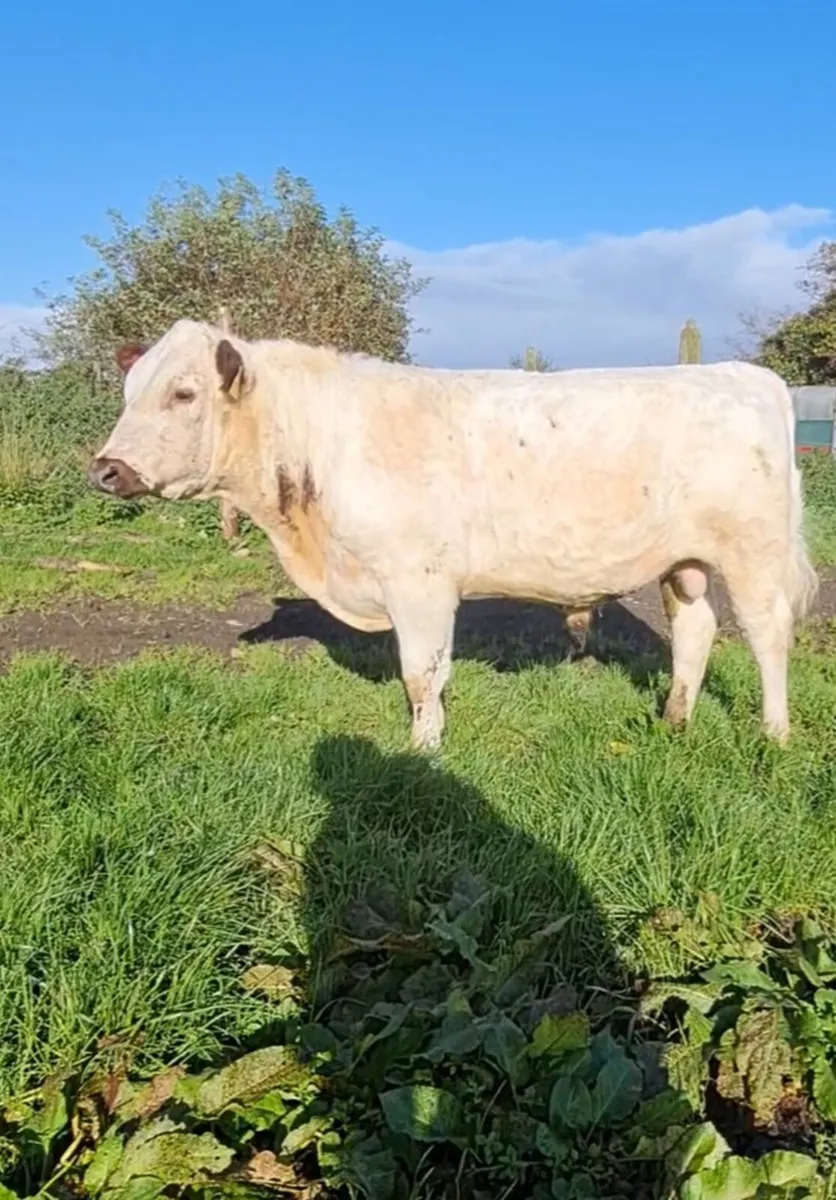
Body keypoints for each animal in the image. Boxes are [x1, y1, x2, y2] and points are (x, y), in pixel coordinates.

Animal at [89, 318, 818, 750]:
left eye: (183, 393)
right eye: (127, 392)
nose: (106, 468)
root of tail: (743, 373)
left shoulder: (419, 580)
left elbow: (420, 673)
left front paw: (423, 751)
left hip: (753, 551)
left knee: (766, 636)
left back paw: (775, 734)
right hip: (683, 561)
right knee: (695, 631)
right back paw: (674, 721)